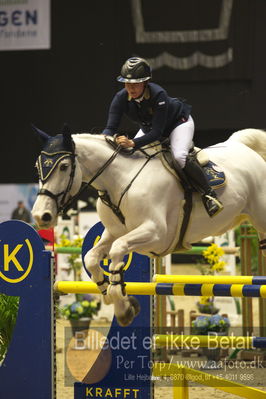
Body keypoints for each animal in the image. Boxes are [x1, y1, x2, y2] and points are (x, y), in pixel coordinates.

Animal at [32, 128, 266, 328]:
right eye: (38, 167)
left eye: (63, 166)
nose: (41, 215)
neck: (119, 180)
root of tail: (242, 146)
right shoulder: (114, 232)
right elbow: (91, 257)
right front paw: (109, 293)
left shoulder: (156, 234)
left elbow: (118, 249)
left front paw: (123, 307)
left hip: (260, 217)